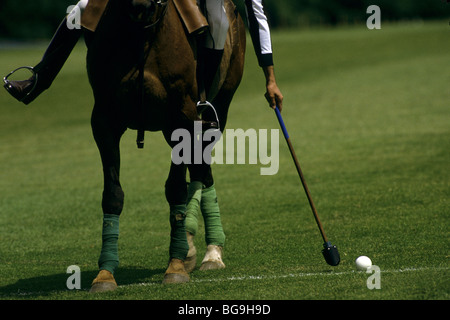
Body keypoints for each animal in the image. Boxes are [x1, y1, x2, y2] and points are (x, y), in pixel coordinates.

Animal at [84, 0, 246, 292]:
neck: (142, 30)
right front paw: (104, 274)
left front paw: (176, 267)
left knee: (202, 171)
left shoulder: (181, 117)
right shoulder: (104, 121)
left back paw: (211, 252)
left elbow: (175, 189)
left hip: (220, 104)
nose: (142, 4)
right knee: (200, 170)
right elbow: (112, 194)